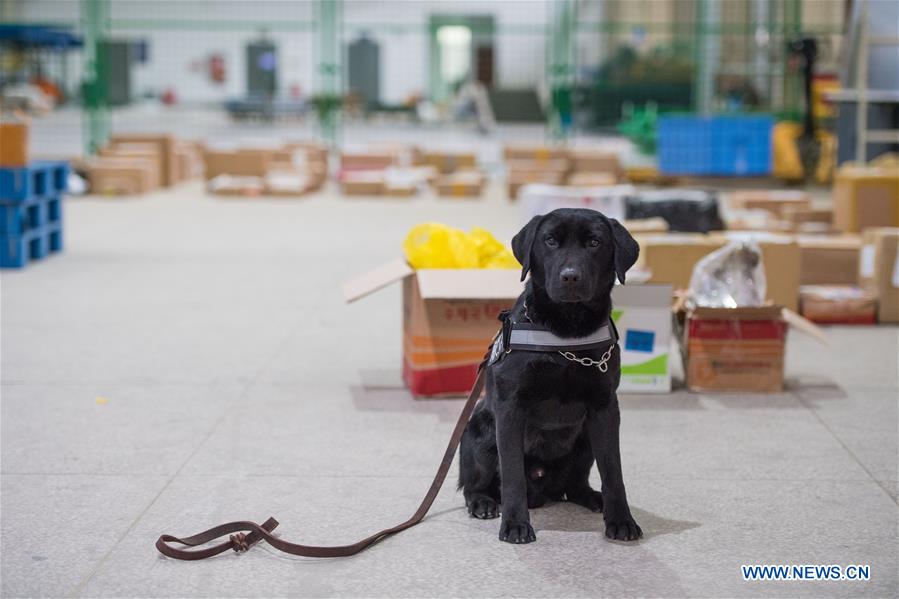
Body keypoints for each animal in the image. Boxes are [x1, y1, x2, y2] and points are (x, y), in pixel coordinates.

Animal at [460, 209, 644, 548]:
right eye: (550, 241)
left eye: (595, 243)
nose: (570, 276)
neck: (566, 333)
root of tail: (544, 491)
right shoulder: (510, 408)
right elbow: (512, 475)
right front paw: (516, 525)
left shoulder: (605, 407)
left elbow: (614, 471)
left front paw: (621, 520)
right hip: (478, 433)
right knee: (474, 484)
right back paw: (483, 503)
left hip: (585, 438)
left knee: (575, 485)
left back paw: (592, 497)